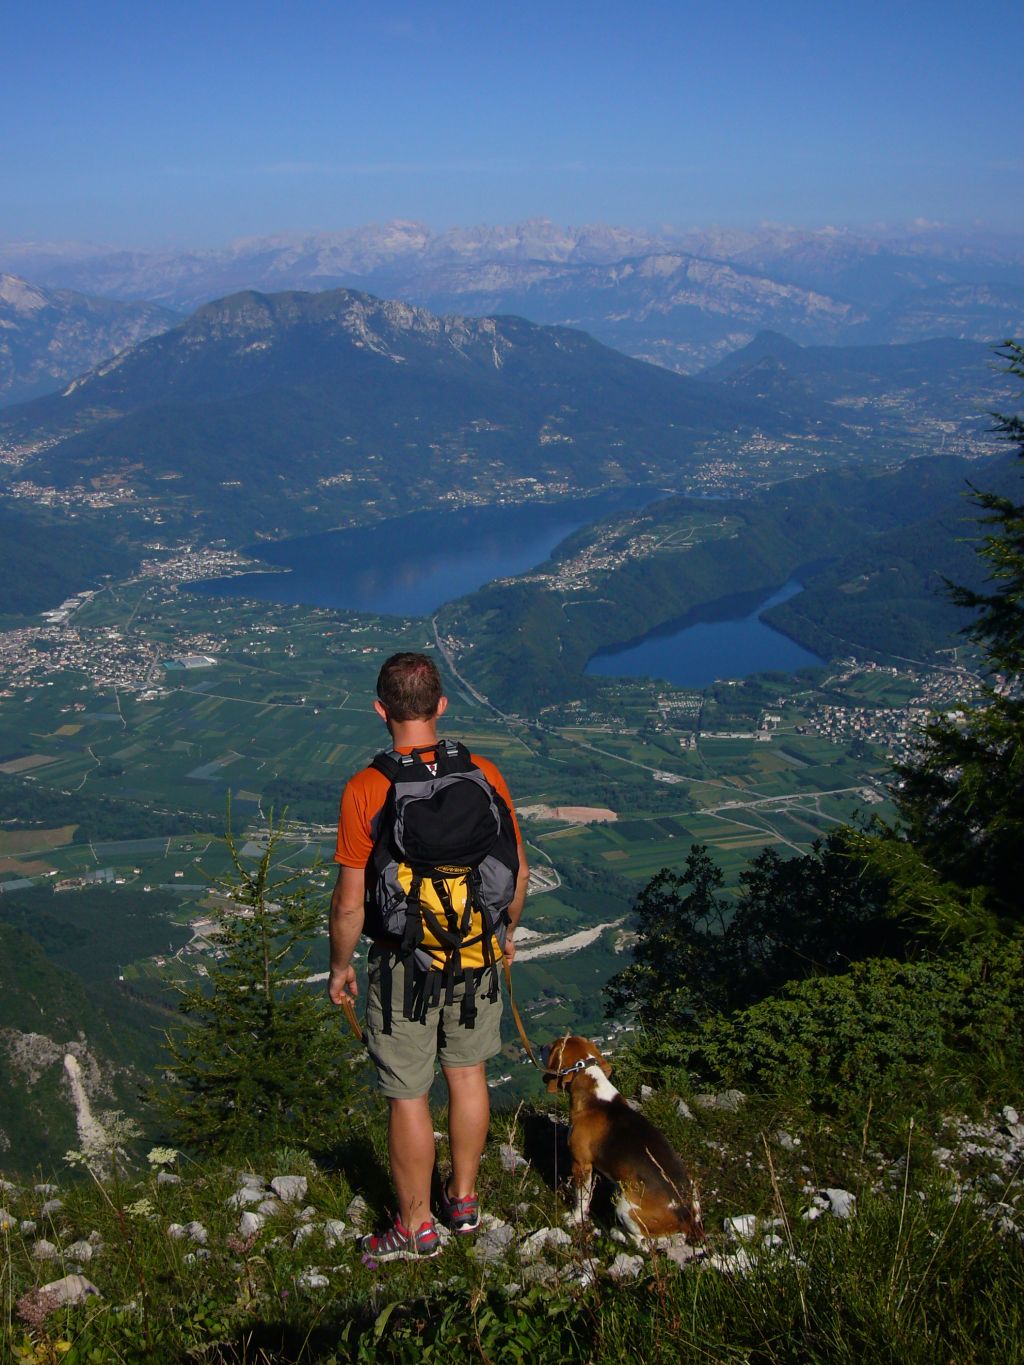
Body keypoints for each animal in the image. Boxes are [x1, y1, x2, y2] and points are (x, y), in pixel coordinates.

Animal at [546, 1031, 704, 1250]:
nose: (543, 1046)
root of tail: (686, 1217)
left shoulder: (581, 1164)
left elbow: (581, 1199)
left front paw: (574, 1218)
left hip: (624, 1206)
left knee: (645, 1243)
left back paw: (617, 1233)